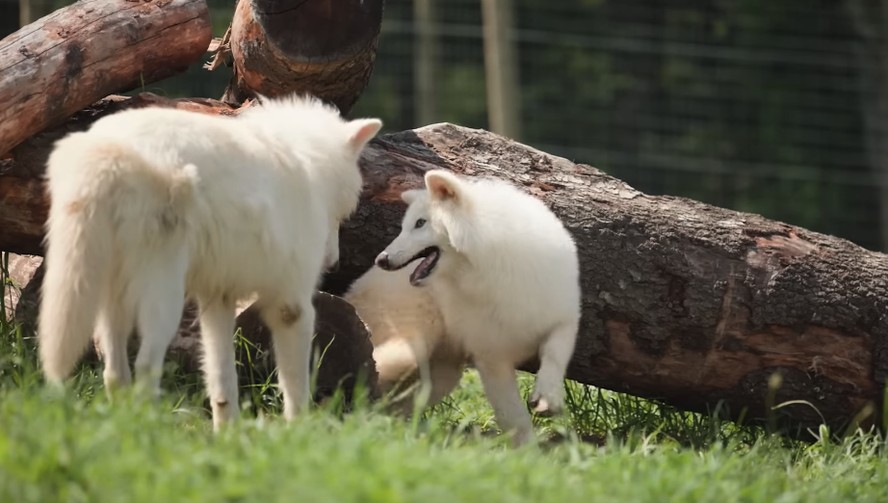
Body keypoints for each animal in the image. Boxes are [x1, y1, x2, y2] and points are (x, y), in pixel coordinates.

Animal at [38, 94, 382, 429]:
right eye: (340, 214)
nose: (332, 264)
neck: (306, 159)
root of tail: (109, 152)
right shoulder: (290, 306)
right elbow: (295, 387)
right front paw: (299, 433)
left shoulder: (218, 301)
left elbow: (222, 382)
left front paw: (227, 437)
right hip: (165, 298)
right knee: (145, 366)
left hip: (113, 299)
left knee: (114, 373)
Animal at [349, 169, 581, 445]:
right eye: (405, 226)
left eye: (420, 223)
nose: (381, 259)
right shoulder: (492, 359)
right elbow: (513, 415)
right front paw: (527, 450)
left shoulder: (562, 318)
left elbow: (555, 356)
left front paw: (548, 398)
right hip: (411, 347)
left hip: (442, 374)